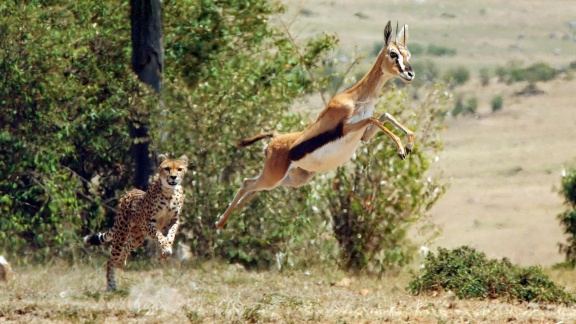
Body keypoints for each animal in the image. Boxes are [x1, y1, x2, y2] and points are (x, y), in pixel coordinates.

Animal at [83, 154, 189, 292]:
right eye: (167, 168)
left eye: (179, 169)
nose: (173, 177)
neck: (169, 192)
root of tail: (129, 192)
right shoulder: (148, 222)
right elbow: (160, 236)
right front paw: (165, 248)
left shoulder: (174, 220)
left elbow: (171, 234)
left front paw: (166, 249)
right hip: (121, 233)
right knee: (111, 260)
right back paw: (111, 286)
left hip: (137, 237)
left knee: (127, 247)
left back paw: (121, 262)